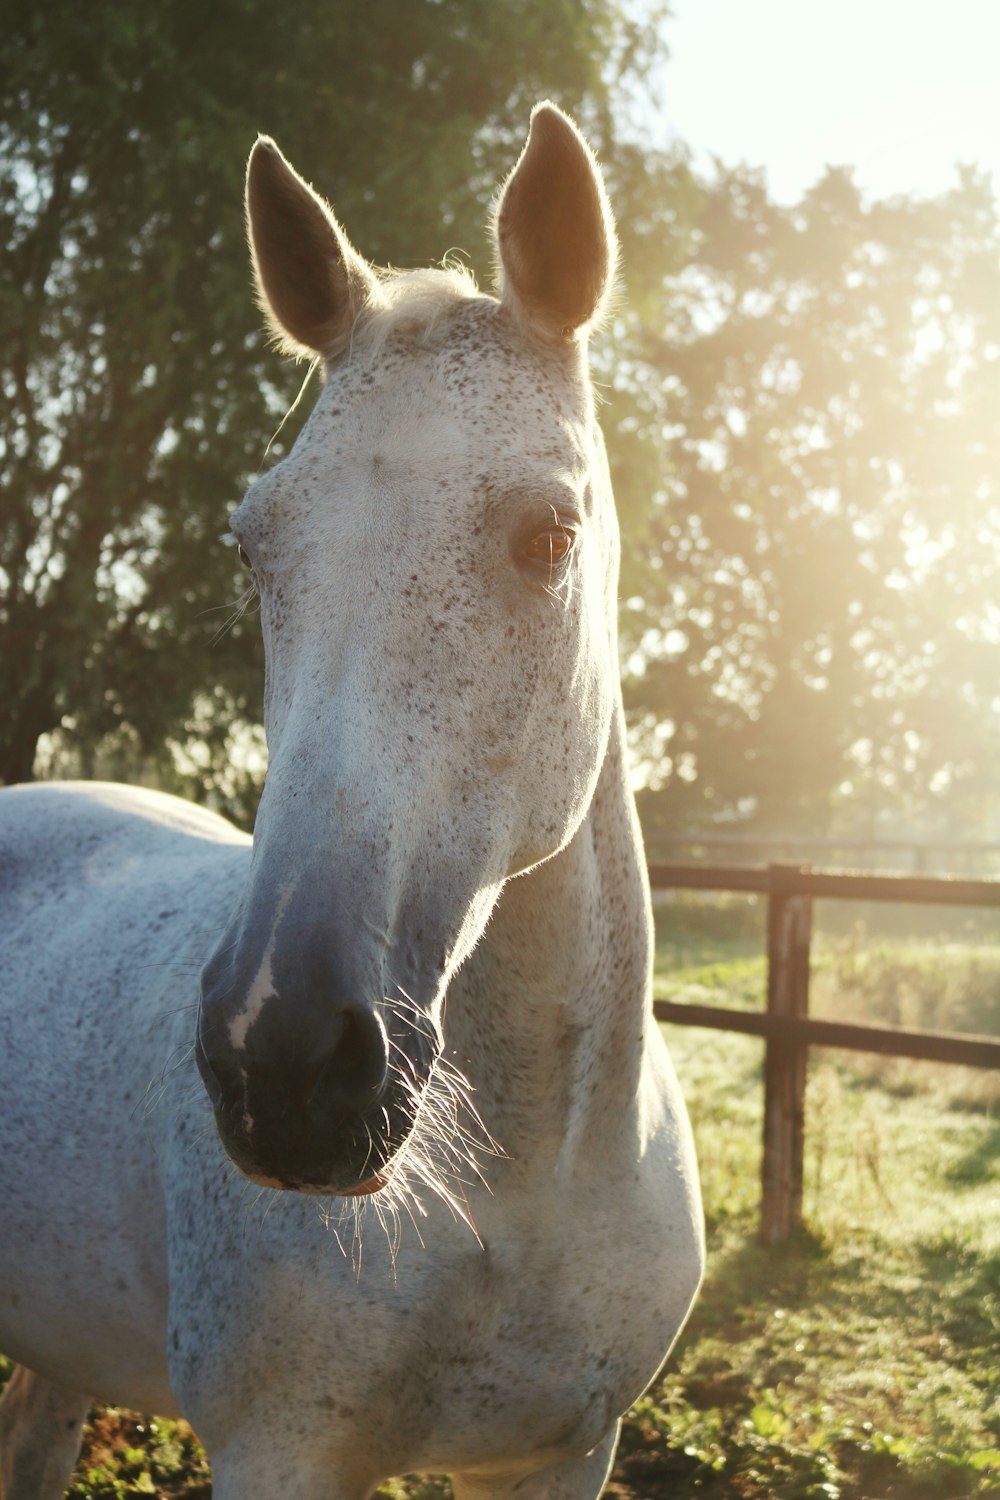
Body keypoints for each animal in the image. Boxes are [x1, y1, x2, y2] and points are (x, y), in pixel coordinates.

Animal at [0, 108, 704, 1500]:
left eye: (550, 535)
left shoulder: (563, 1452)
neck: (515, 1191)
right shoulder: (278, 1452)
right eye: (252, 543)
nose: (282, 1063)